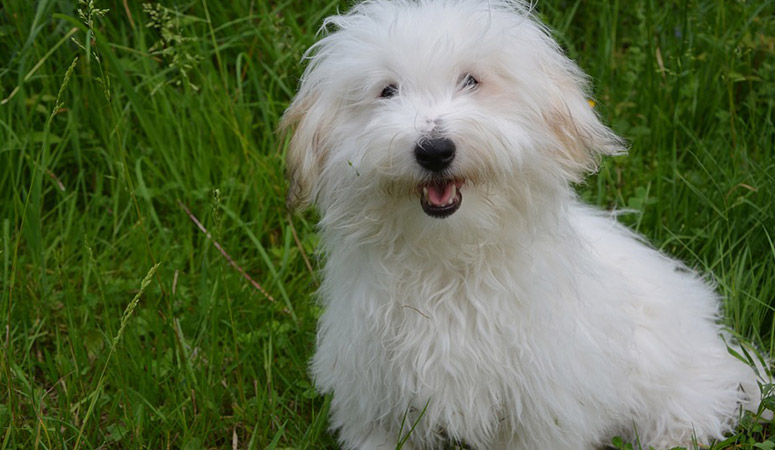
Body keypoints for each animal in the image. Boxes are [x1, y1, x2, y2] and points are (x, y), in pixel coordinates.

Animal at [280, 1, 764, 448]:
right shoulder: (378, 408)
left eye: (471, 81)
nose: (434, 150)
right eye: (387, 90)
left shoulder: (540, 410)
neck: (447, 261)